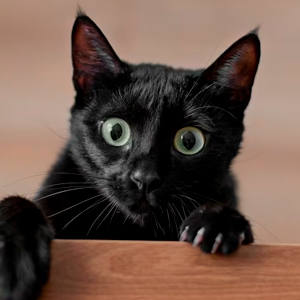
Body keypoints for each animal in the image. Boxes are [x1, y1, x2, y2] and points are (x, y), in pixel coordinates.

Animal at [0, 11, 258, 300]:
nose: (145, 178)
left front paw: (217, 222)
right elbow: (17, 204)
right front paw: (16, 258)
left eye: (189, 141)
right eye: (115, 131)